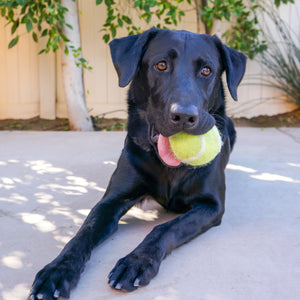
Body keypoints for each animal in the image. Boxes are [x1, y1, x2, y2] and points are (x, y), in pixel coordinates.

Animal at [29, 27, 246, 298]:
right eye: (161, 65)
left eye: (207, 70)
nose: (184, 116)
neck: (169, 168)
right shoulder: (112, 200)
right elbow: (83, 233)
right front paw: (57, 271)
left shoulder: (211, 206)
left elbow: (165, 228)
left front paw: (136, 262)